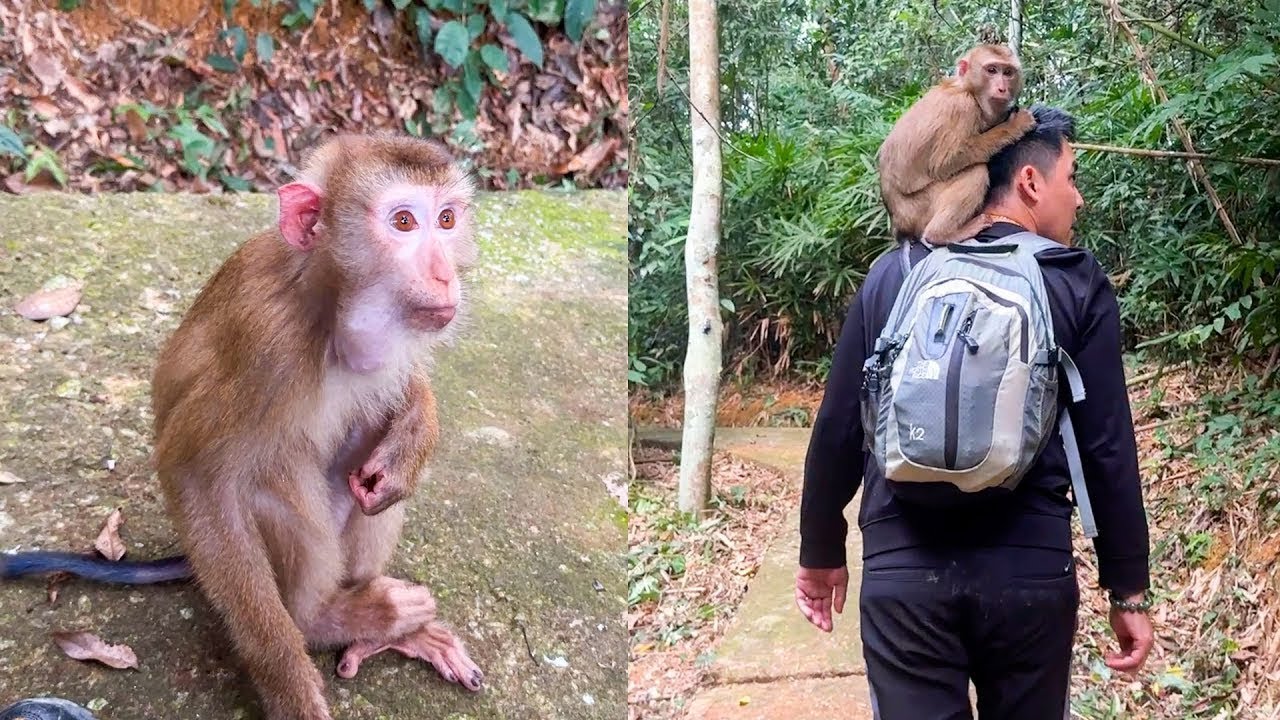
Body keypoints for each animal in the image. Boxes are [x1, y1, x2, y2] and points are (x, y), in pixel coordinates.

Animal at [1, 134, 483, 720]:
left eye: (446, 218)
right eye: (404, 223)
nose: (444, 275)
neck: (325, 303)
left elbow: (398, 409)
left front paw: (410, 442)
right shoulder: (266, 346)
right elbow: (196, 476)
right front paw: (288, 685)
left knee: (368, 441)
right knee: (278, 481)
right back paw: (324, 620)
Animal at [877, 43, 1037, 245]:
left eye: (1008, 72)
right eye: (991, 70)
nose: (1002, 88)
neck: (968, 90)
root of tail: (899, 226)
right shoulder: (962, 108)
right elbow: (944, 162)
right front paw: (1016, 125)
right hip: (920, 210)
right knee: (976, 172)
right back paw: (941, 234)